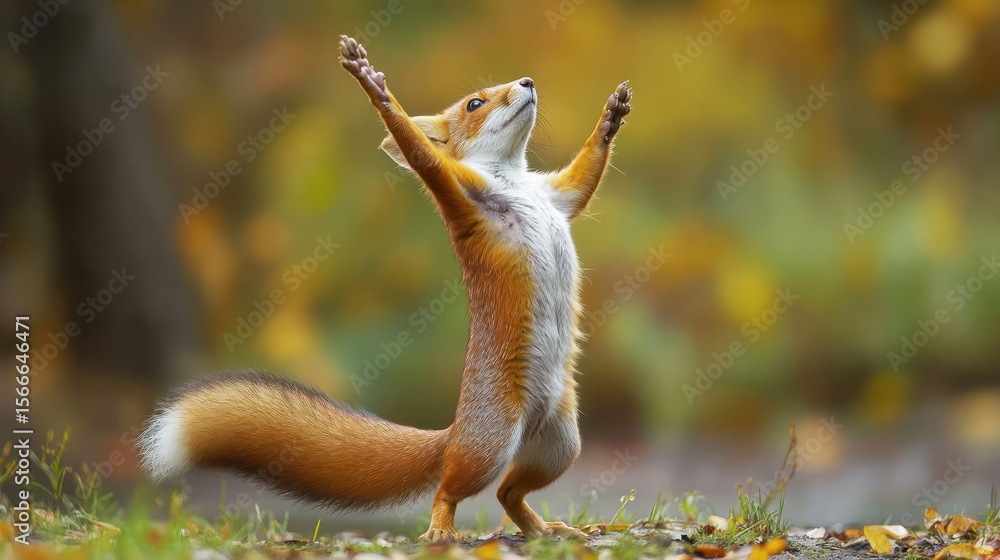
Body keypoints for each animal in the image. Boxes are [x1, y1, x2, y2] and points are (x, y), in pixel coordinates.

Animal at [138, 35, 632, 542]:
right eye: (474, 104)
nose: (527, 82)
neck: (514, 179)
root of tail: (456, 430)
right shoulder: (458, 190)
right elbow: (421, 155)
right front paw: (374, 88)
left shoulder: (556, 196)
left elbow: (583, 178)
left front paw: (610, 119)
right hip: (491, 446)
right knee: (454, 489)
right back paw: (443, 529)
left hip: (561, 445)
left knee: (507, 494)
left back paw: (546, 529)